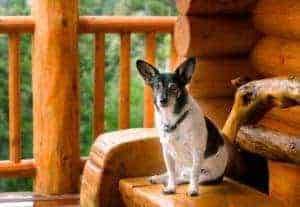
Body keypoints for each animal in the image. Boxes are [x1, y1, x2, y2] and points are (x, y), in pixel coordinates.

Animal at [137, 57, 229, 196]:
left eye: (173, 87)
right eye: (157, 86)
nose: (162, 100)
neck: (173, 119)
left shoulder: (197, 151)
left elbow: (194, 174)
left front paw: (193, 190)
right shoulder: (167, 152)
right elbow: (171, 172)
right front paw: (170, 187)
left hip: (206, 175)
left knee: (187, 177)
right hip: (178, 161)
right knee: (176, 174)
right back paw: (159, 178)